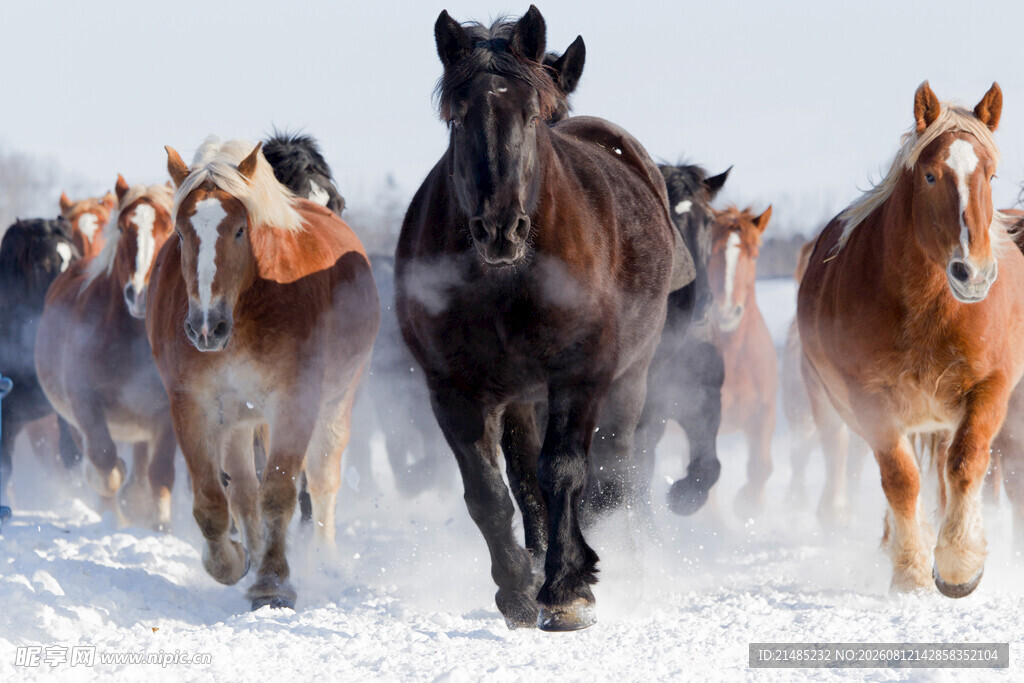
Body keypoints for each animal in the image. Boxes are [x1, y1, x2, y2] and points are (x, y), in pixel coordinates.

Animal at [36, 177, 178, 528]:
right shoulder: (85, 404)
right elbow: (104, 463)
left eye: (169, 227)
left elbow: (160, 471)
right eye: (124, 228)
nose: (139, 294)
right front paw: (114, 514)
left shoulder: (168, 409)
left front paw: (159, 524)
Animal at [149, 137, 378, 609]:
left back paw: (323, 559)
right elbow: (213, 501)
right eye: (180, 232)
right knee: (242, 490)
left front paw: (273, 583)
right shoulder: (192, 406)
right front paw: (234, 562)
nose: (206, 327)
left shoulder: (294, 402)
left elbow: (279, 492)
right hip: (239, 418)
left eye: (240, 229)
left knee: (322, 483)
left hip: (334, 404)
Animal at [396, 7, 682, 631]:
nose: (500, 228)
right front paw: (518, 589)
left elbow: (566, 473)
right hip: (522, 396)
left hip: (630, 377)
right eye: (457, 118)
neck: (507, 283)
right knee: (527, 477)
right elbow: (489, 493)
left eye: (531, 115)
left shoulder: (581, 374)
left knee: (611, 473)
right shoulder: (456, 390)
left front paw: (568, 588)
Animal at [798, 82, 1024, 598]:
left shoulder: (992, 387)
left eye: (991, 174)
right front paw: (911, 571)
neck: (928, 311)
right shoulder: (869, 399)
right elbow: (900, 479)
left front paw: (959, 564)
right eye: (930, 175)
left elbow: (965, 462)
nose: (973, 274)